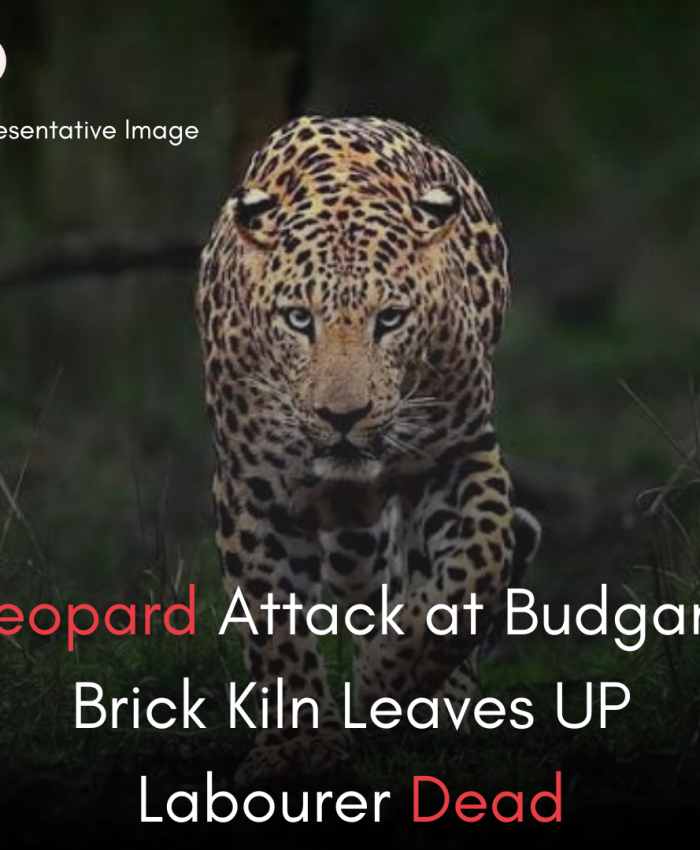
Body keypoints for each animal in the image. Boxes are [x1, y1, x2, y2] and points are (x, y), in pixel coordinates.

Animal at [196, 115, 540, 785]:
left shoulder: (461, 452)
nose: (343, 416)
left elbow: (478, 567)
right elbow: (274, 626)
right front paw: (299, 745)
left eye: (391, 319)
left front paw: (387, 679)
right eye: (298, 319)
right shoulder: (252, 488)